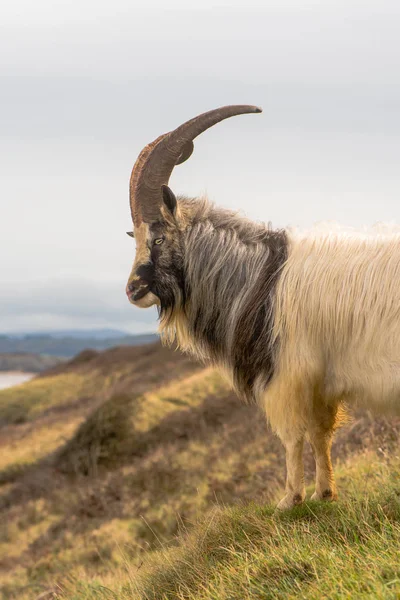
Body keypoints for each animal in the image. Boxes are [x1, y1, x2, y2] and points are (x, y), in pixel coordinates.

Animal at [125, 105, 400, 508]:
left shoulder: (288, 374)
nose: (133, 290)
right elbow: (320, 433)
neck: (261, 275)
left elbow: (293, 435)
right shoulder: (320, 382)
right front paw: (324, 493)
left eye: (158, 238)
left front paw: (289, 500)